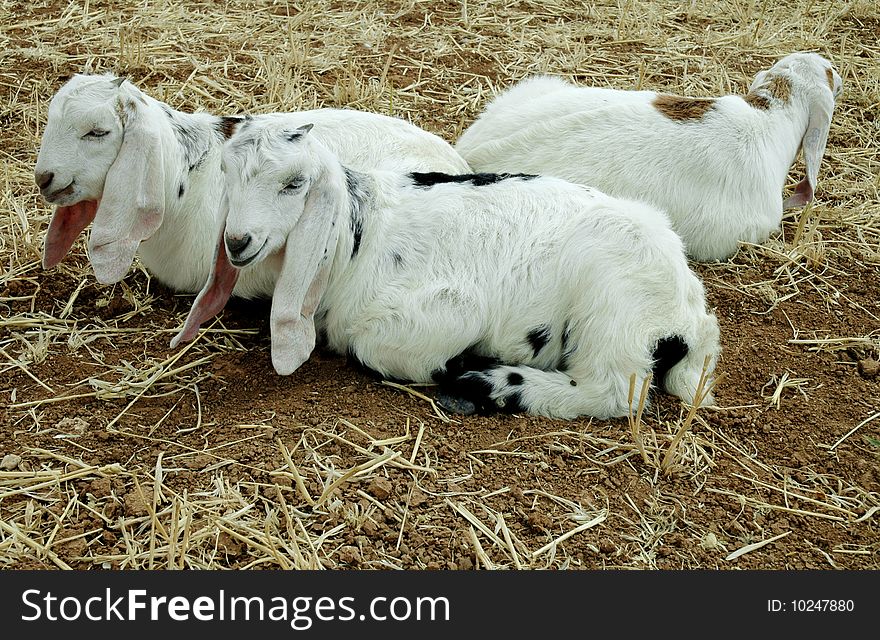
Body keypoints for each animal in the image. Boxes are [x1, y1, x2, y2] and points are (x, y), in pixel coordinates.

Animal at [172, 118, 720, 422]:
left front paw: (455, 365)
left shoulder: (447, 309)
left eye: (295, 183)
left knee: (613, 392)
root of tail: (691, 316)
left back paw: (490, 383)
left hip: (616, 306)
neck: (358, 238)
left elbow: (376, 347)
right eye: (226, 174)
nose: (237, 242)